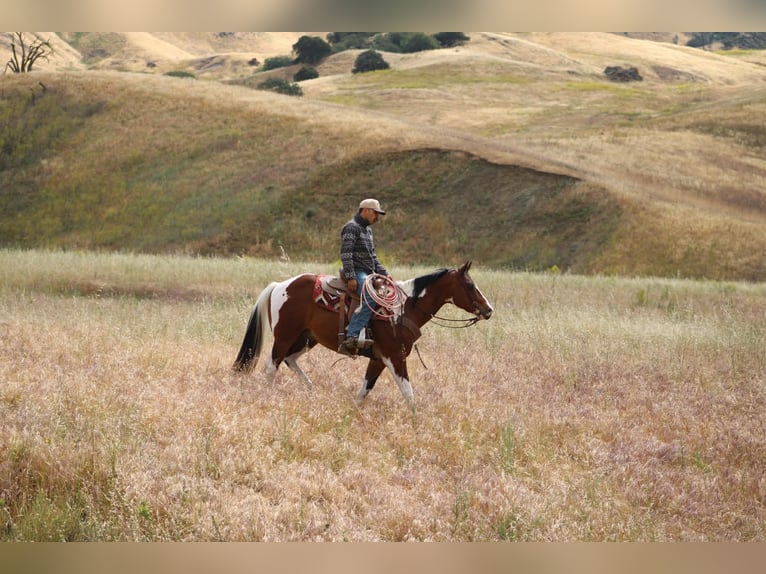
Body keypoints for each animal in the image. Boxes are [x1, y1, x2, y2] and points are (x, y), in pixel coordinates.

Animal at [233, 261, 493, 407]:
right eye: (470, 285)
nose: (488, 309)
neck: (403, 308)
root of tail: (279, 285)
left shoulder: (378, 359)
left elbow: (365, 390)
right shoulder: (395, 357)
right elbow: (408, 393)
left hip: (307, 338)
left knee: (289, 360)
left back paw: (311, 388)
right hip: (285, 336)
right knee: (271, 366)